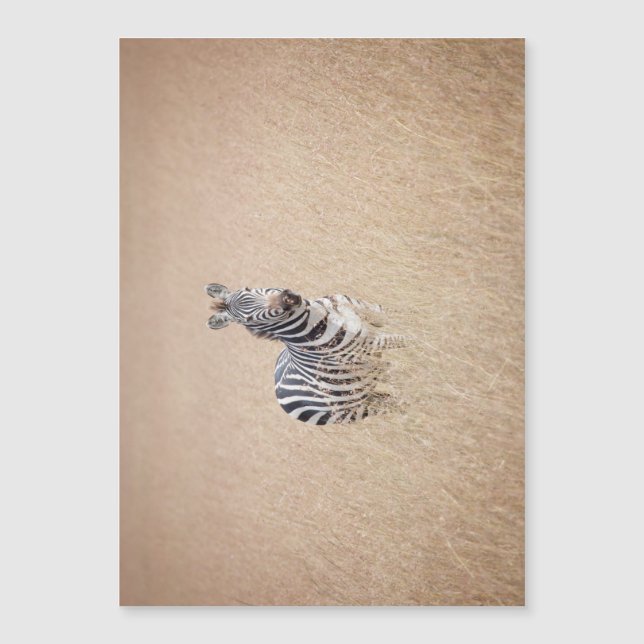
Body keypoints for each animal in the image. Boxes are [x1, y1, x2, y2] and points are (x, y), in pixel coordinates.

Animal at [205, 284, 405, 425]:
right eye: (249, 319)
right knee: (395, 405)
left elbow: (399, 315)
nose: (288, 298)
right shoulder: (369, 345)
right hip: (354, 411)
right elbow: (407, 339)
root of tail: (279, 395)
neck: (321, 318)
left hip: (366, 390)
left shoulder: (371, 312)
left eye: (248, 289)